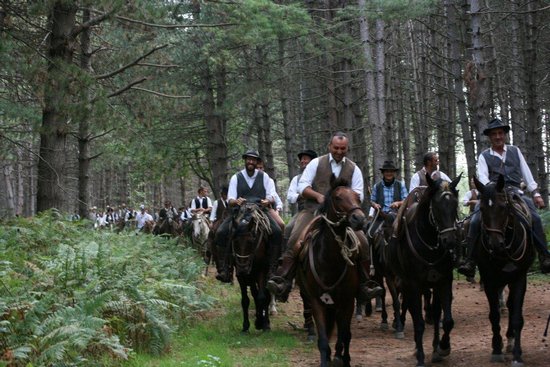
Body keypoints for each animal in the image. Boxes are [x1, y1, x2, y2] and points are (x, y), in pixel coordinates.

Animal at [233, 203, 274, 334]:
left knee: (265, 295)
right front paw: (246, 326)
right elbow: (245, 300)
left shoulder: (262, 271)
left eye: (251, 241)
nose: (243, 268)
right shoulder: (241, 276)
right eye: (235, 242)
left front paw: (262, 324)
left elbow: (262, 297)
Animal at [298, 177, 366, 366]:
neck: (329, 261)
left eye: (357, 196)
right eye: (338, 197)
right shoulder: (316, 302)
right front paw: (325, 360)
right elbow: (323, 338)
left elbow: (345, 335)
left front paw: (342, 358)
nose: (359, 219)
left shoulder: (347, 302)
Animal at [388, 173, 462, 367]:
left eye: (455, 204)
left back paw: (435, 348)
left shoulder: (443, 281)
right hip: (406, 283)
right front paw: (420, 356)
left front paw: (443, 347)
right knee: (411, 310)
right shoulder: (413, 284)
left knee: (434, 314)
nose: (449, 241)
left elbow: (446, 320)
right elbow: (418, 322)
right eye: (435, 206)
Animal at [476, 175, 536, 366]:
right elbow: (494, 315)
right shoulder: (489, 280)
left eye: (503, 207)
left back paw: (510, 339)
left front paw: (517, 354)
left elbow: (516, 316)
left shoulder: (519, 278)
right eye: (482, 208)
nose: (495, 244)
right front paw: (496, 349)